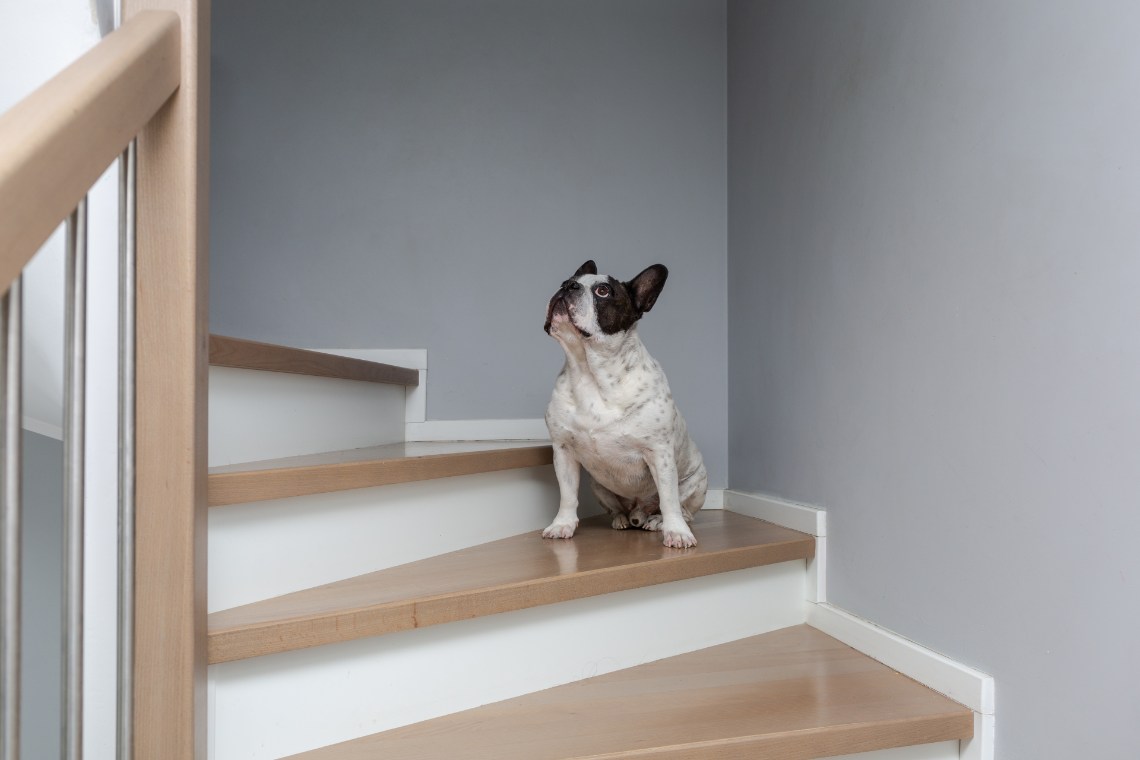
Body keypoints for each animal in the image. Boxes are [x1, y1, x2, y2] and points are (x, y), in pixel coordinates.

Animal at [540, 262, 702, 546]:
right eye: (565, 281)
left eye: (603, 291)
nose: (568, 287)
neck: (589, 372)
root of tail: (639, 510)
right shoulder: (563, 451)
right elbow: (567, 494)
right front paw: (562, 525)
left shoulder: (659, 453)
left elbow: (669, 498)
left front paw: (677, 532)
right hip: (598, 485)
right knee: (618, 509)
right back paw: (622, 519)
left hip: (696, 481)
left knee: (681, 507)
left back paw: (659, 522)